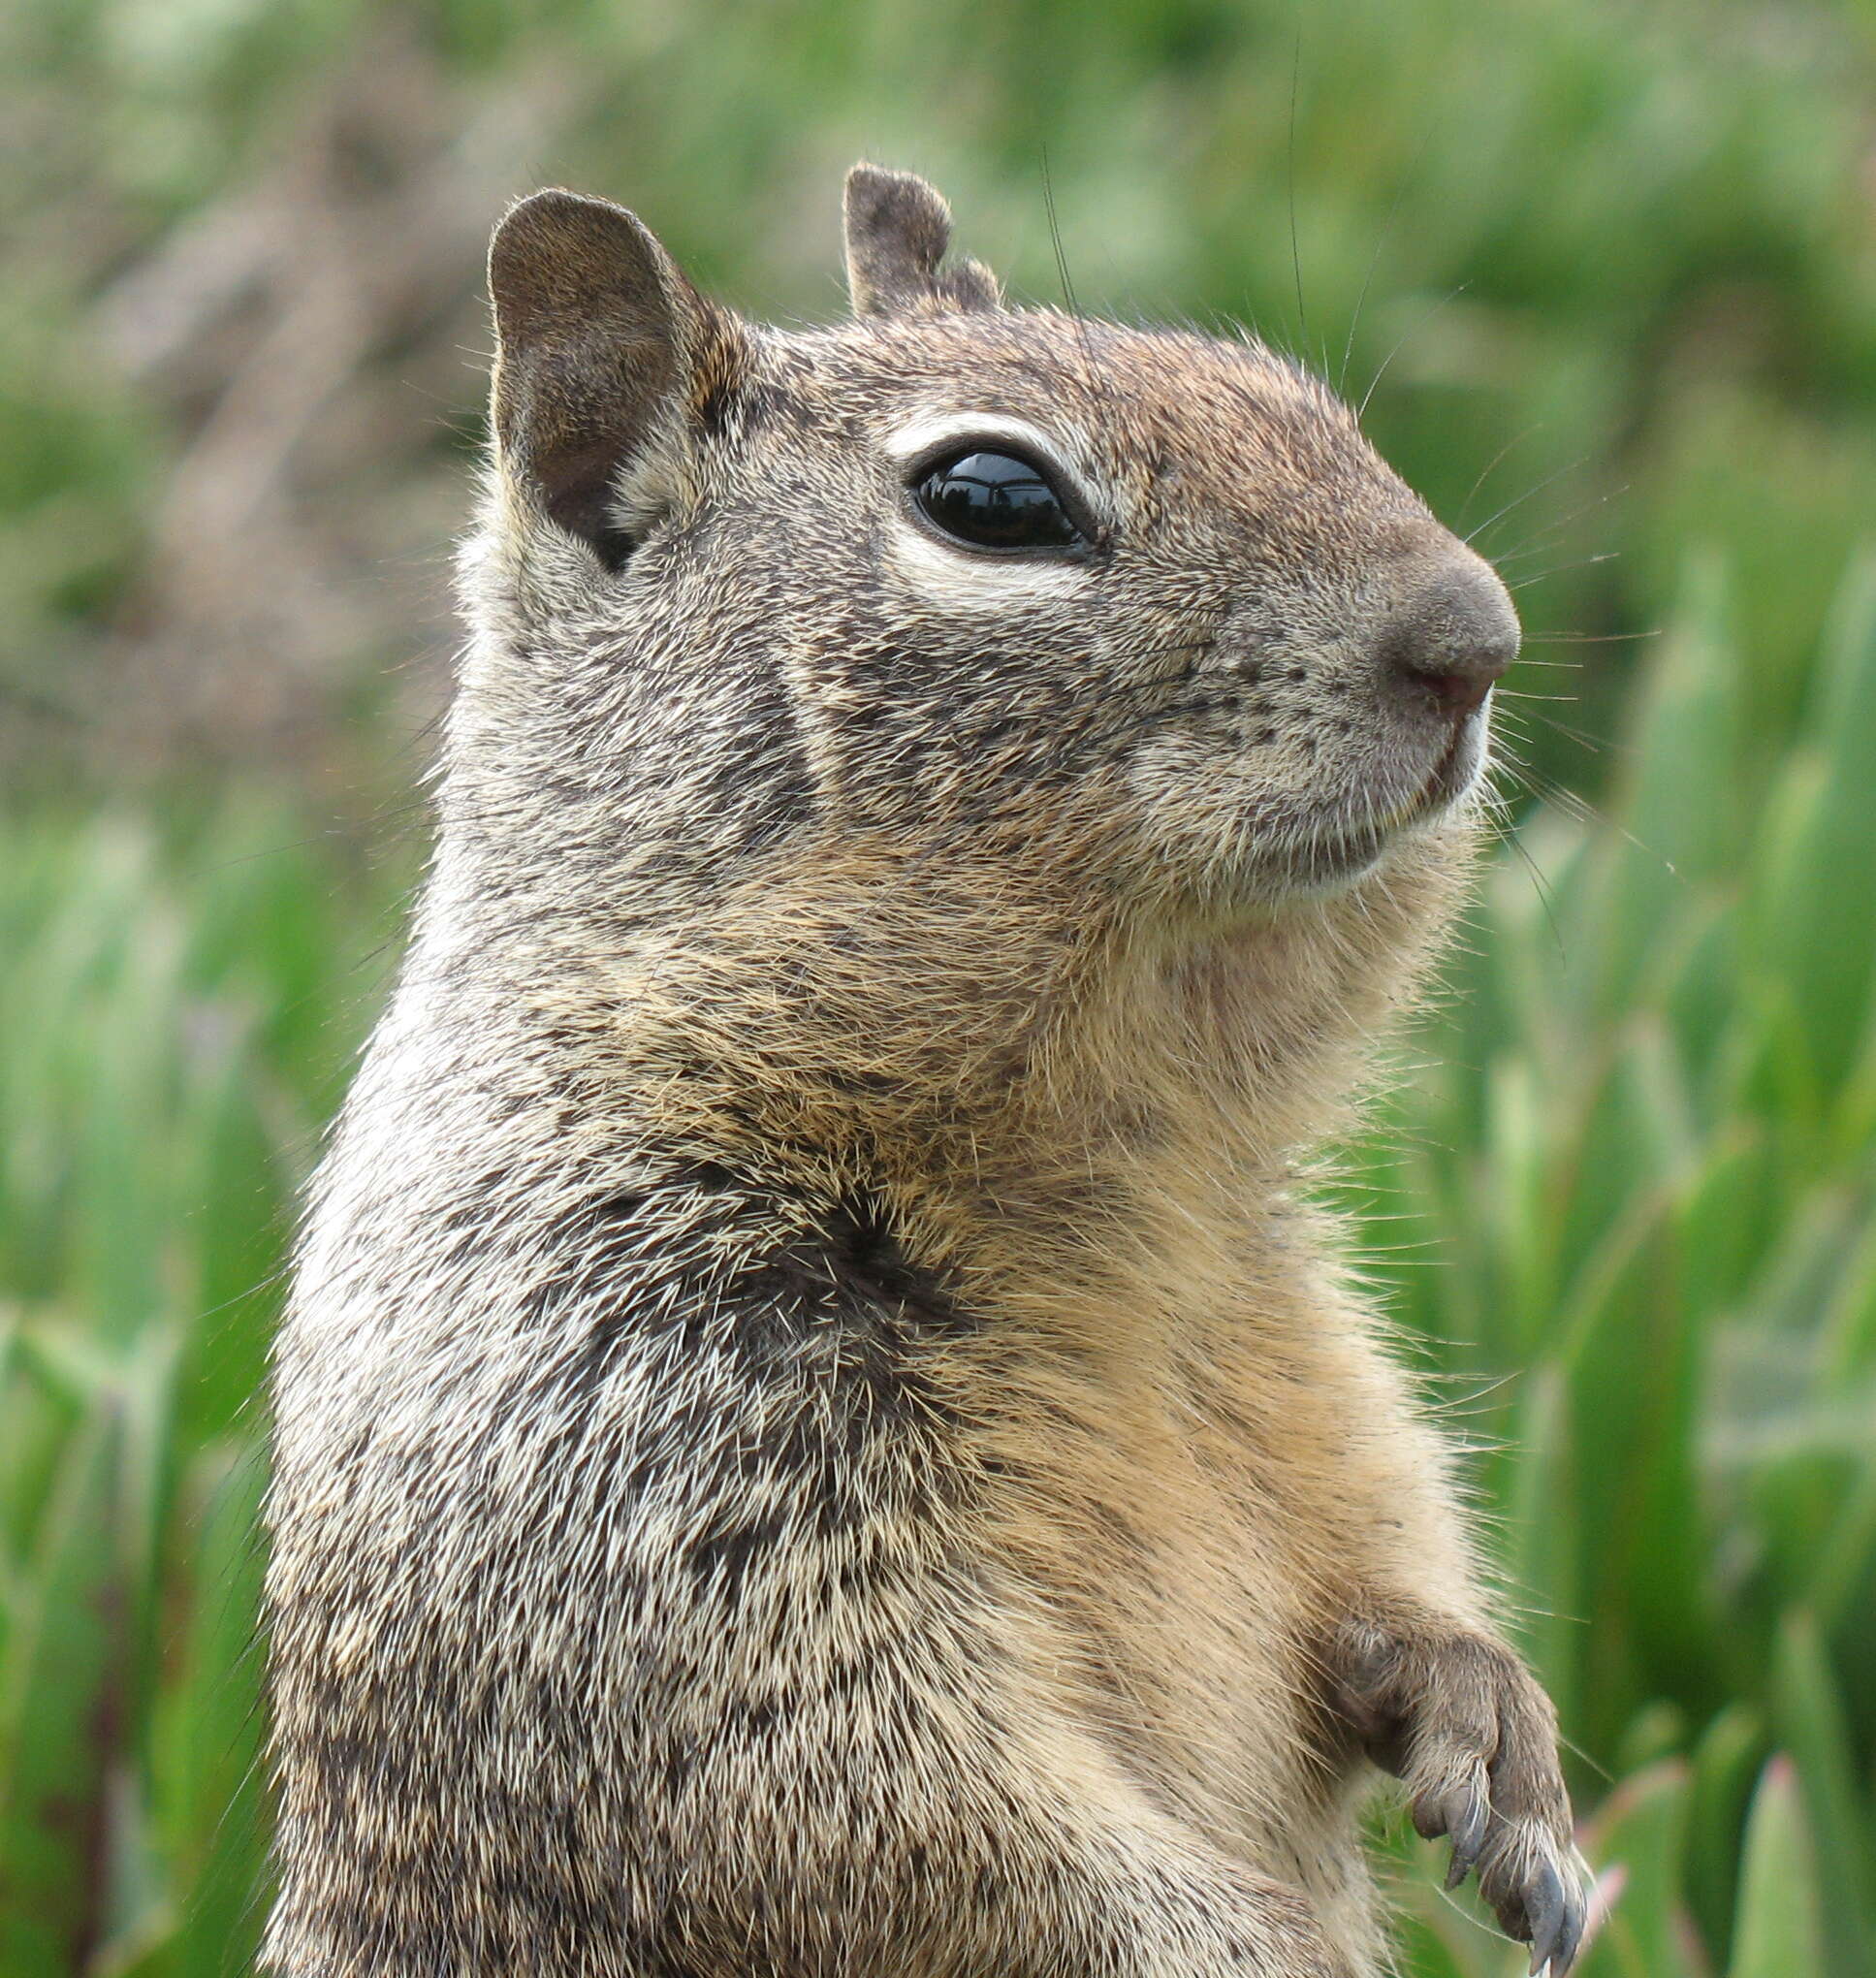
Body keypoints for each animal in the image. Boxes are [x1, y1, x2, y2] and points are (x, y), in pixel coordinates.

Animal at [263, 162, 1581, 1969]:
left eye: (1307, 402)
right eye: (992, 499)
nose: (1477, 635)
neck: (1112, 1165)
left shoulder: (1315, 1367)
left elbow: (1389, 1546)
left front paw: (1493, 1734)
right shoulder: (637, 1483)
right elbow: (904, 1827)